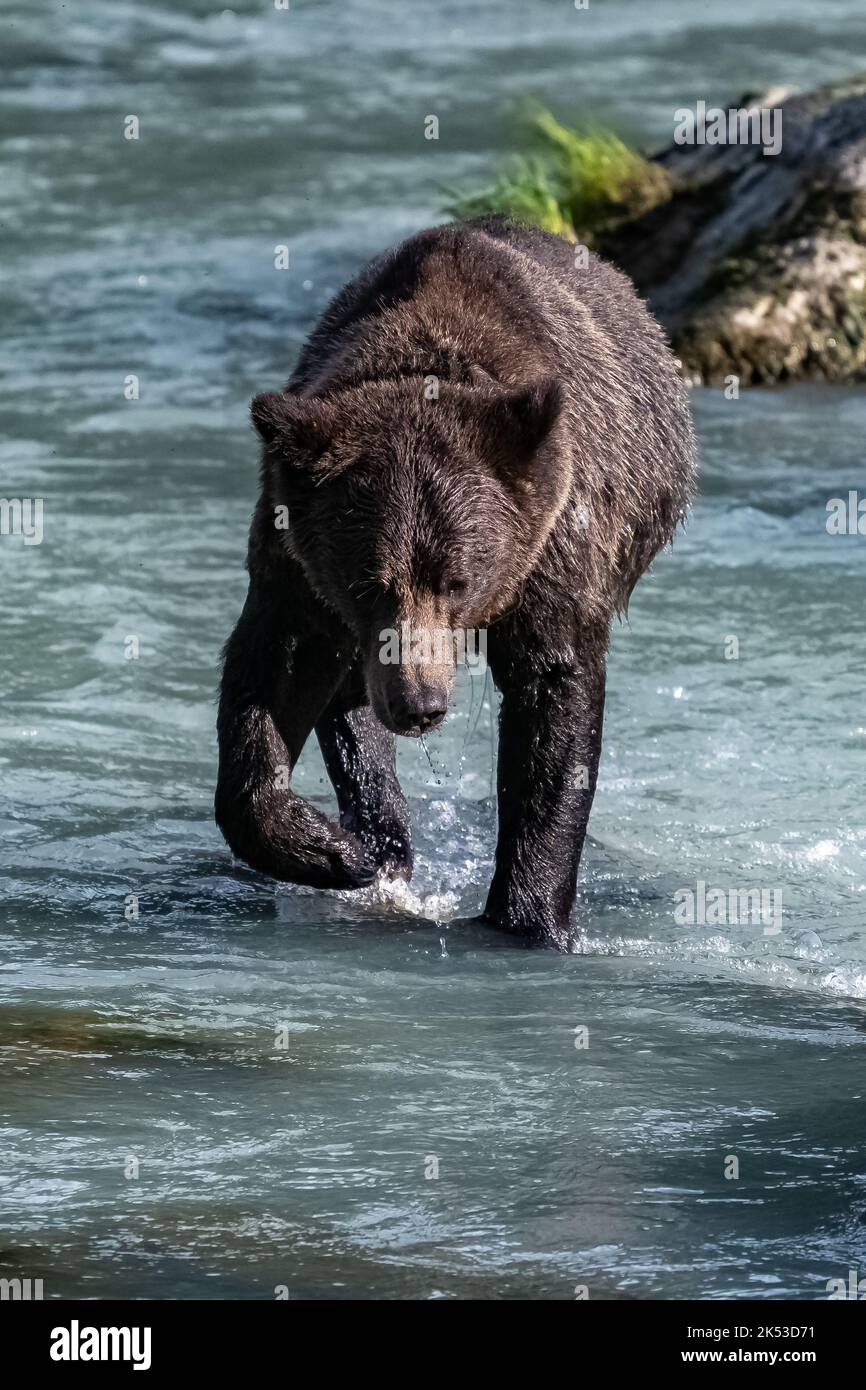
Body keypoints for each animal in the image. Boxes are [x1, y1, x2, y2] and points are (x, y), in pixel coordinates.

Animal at [215, 216, 696, 949]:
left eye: (458, 579)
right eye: (366, 581)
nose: (420, 703)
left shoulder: (554, 543)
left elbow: (552, 706)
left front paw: (528, 917)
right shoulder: (296, 557)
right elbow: (274, 674)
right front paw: (335, 851)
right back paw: (379, 832)